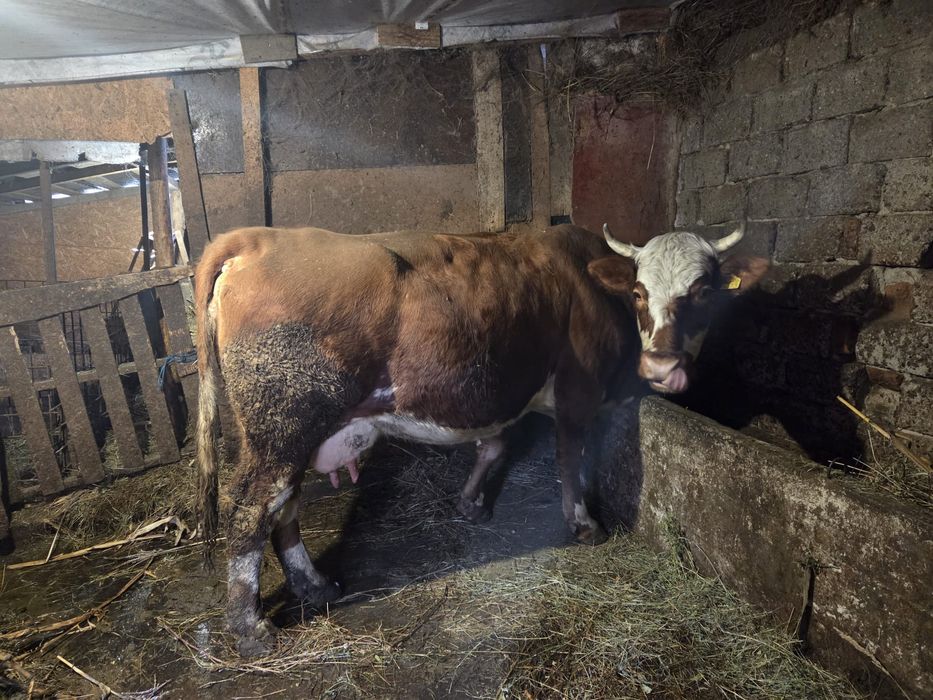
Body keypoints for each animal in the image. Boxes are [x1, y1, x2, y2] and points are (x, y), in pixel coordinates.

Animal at [193, 223, 766, 654]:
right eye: (640, 292)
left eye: (704, 291)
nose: (662, 367)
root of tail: (260, 238)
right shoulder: (579, 390)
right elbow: (570, 457)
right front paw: (583, 524)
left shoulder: (506, 393)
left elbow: (494, 445)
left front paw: (471, 503)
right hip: (283, 425)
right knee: (252, 510)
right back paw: (251, 629)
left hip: (280, 433)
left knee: (283, 507)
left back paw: (314, 585)